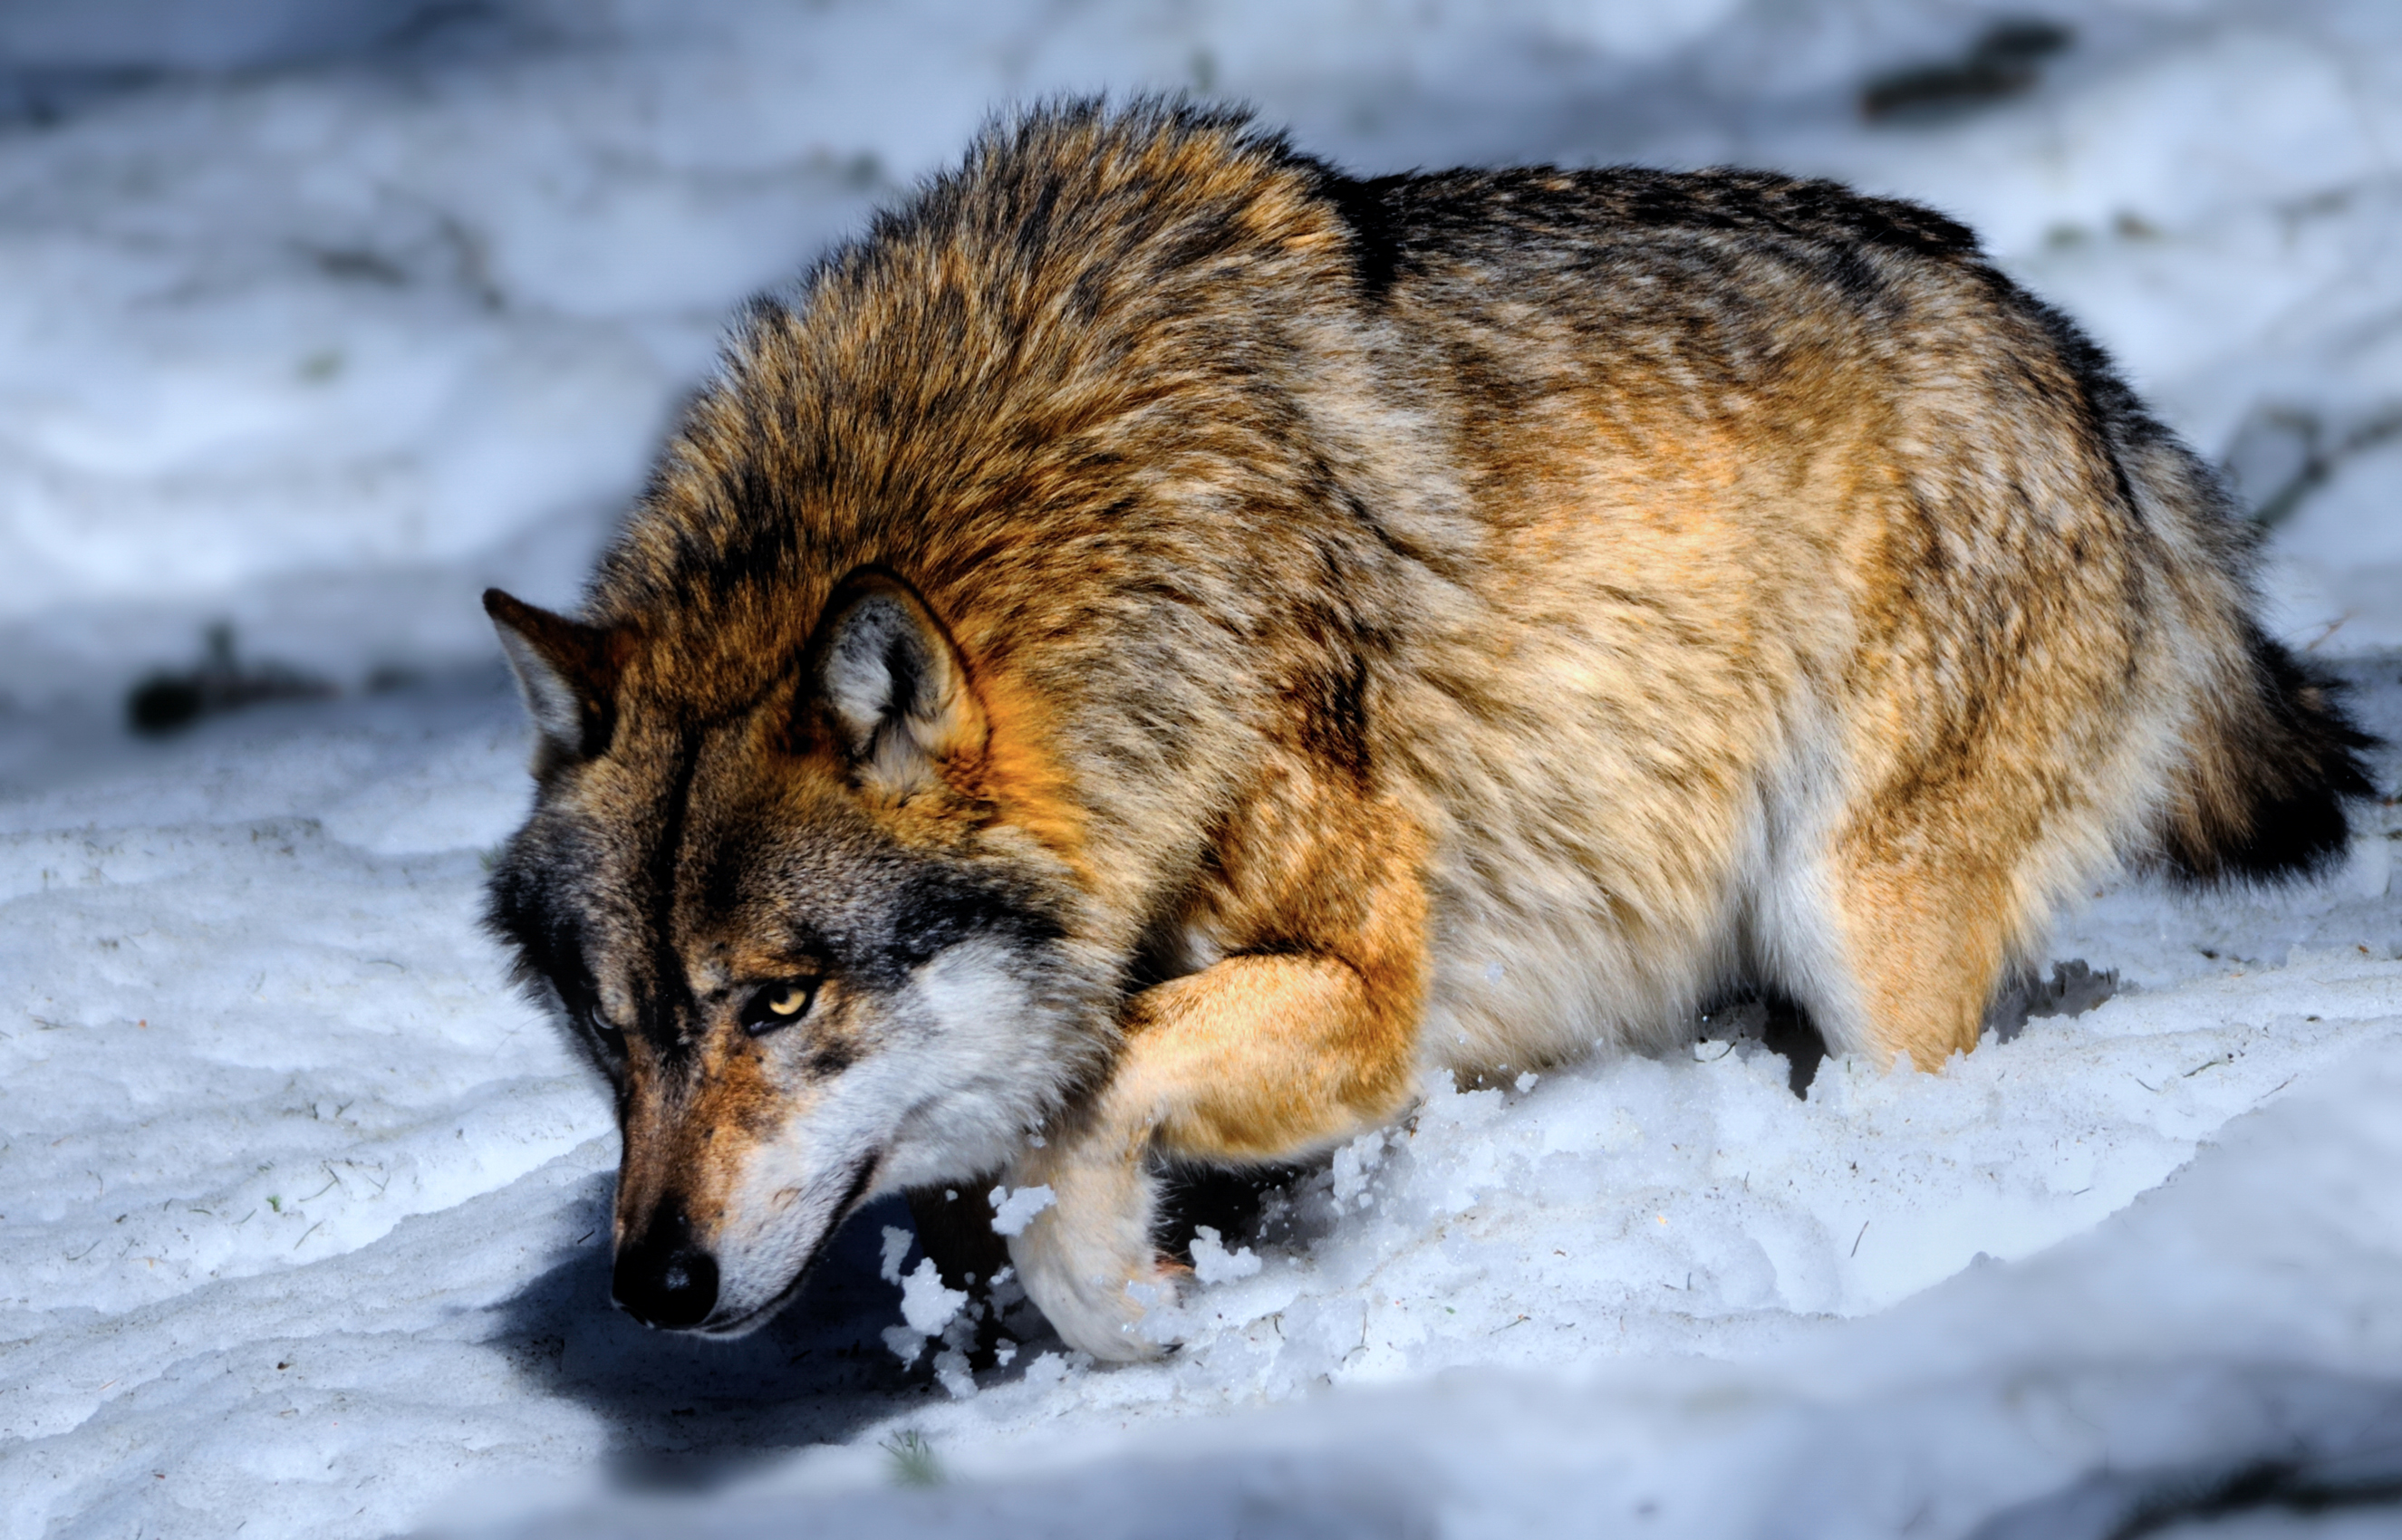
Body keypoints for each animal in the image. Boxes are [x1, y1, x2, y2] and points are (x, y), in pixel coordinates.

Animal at [478, 101, 2373, 1364]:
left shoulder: (1369, 996)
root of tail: (2094, 390)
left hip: (1856, 925)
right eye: (612, 1027)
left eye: (778, 1002)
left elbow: (1093, 1100)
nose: (649, 1289)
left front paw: (1131, 1308)